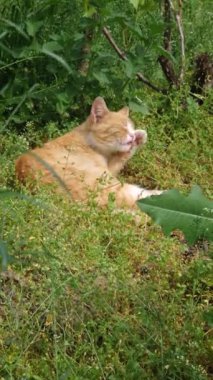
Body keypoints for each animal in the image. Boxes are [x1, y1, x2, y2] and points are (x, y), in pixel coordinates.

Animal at [15, 95, 161, 208]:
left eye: (130, 128)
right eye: (122, 127)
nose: (132, 135)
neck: (87, 140)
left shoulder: (111, 167)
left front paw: (138, 137)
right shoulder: (109, 170)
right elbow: (123, 156)